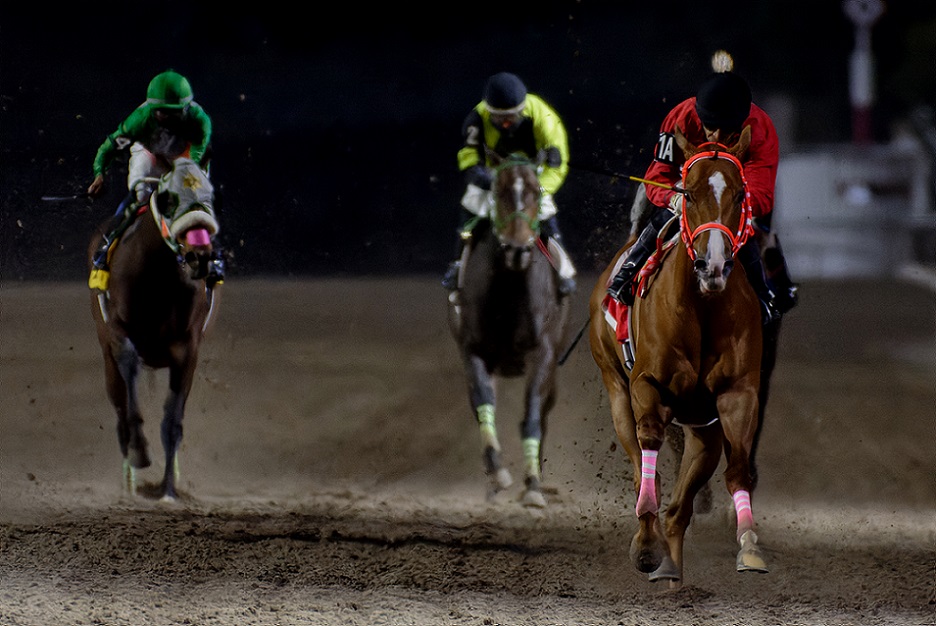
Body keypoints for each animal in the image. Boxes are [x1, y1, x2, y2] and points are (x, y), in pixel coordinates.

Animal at [88, 158, 221, 501]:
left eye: (210, 196)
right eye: (167, 198)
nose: (199, 256)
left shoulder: (187, 348)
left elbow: (172, 422)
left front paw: (169, 489)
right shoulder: (119, 334)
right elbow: (129, 392)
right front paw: (139, 452)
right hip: (106, 357)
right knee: (120, 409)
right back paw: (130, 483)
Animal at [448, 151, 571, 508]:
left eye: (534, 193)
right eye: (501, 192)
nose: (517, 250)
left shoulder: (543, 353)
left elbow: (532, 414)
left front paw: (533, 487)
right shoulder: (473, 350)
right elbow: (483, 404)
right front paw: (496, 475)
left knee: (542, 413)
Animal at [588, 126, 769, 587]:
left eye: (739, 194)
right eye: (687, 192)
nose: (713, 265)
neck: (702, 308)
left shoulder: (736, 396)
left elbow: (736, 469)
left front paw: (749, 547)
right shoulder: (647, 385)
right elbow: (649, 442)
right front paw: (645, 544)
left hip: (702, 426)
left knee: (682, 501)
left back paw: (672, 559)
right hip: (616, 388)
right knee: (639, 458)